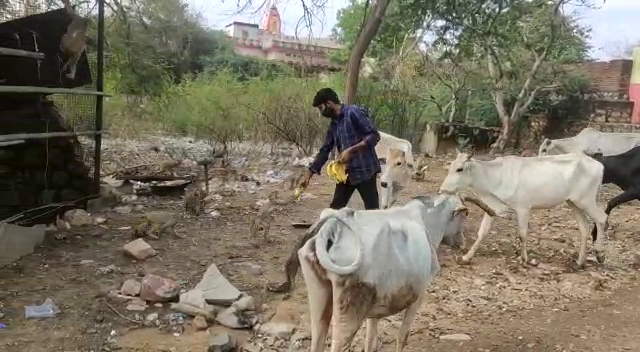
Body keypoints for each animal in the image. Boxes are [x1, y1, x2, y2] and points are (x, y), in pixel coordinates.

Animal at [276, 194, 496, 350]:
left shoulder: (376, 307)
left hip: (319, 296)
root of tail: (333, 224)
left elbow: (371, 342)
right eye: (464, 215)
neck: (426, 220)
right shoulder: (419, 296)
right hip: (349, 309)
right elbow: (402, 336)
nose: (462, 243)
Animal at [438, 150, 608, 268]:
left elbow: (522, 234)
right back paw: (579, 262)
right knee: (584, 228)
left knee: (602, 218)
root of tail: (598, 164)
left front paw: (524, 259)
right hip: (573, 203)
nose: (442, 190)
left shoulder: (523, 208)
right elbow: (482, 232)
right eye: (450, 167)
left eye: (460, 169)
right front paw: (466, 257)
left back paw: (600, 254)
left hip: (586, 200)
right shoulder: (492, 208)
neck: (494, 176)